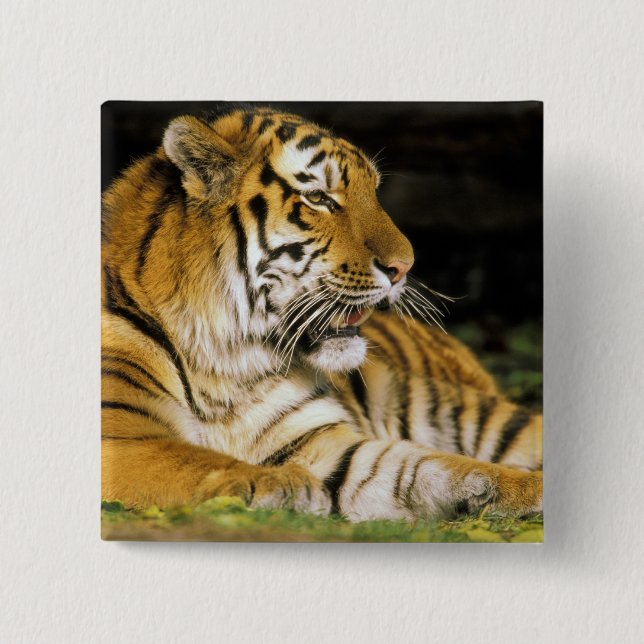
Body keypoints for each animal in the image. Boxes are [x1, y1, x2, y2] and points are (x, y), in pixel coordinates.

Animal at [101, 105, 542, 523]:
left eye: (373, 192)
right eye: (318, 198)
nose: (405, 266)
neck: (229, 363)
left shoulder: (323, 444)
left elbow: (434, 466)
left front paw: (530, 489)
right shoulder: (123, 438)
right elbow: (195, 460)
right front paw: (282, 483)